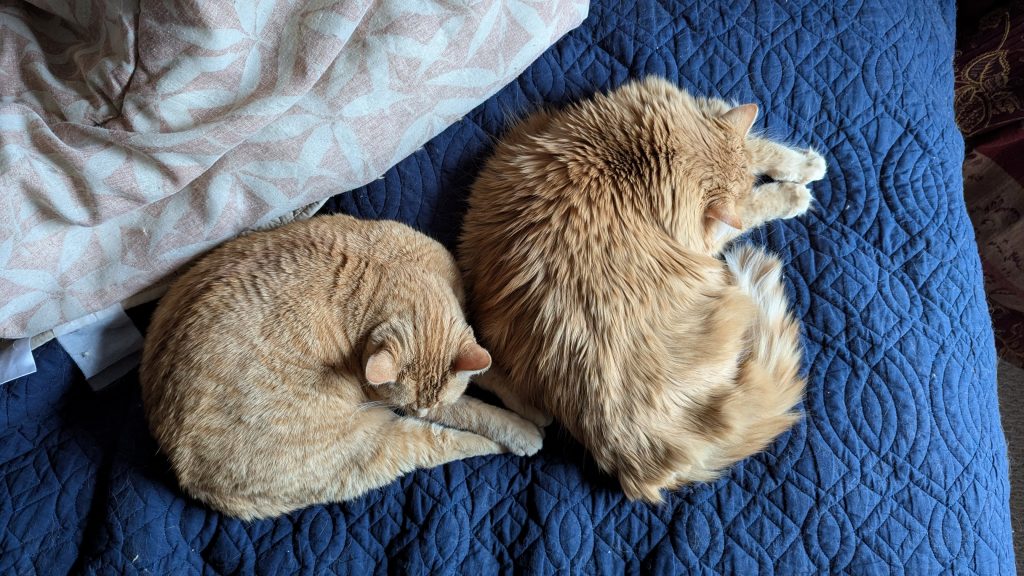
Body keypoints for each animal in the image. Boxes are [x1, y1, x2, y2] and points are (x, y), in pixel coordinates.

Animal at [143, 213, 548, 518]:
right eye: (411, 404)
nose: (417, 410)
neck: (383, 271)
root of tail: (187, 475)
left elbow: (492, 371)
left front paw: (530, 403)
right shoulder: (396, 402)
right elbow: (471, 410)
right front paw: (519, 425)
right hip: (371, 443)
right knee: (434, 443)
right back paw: (506, 442)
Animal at [460, 76, 827, 498]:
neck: (633, 159)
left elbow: (760, 147)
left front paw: (804, 165)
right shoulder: (708, 234)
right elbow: (753, 204)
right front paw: (791, 192)